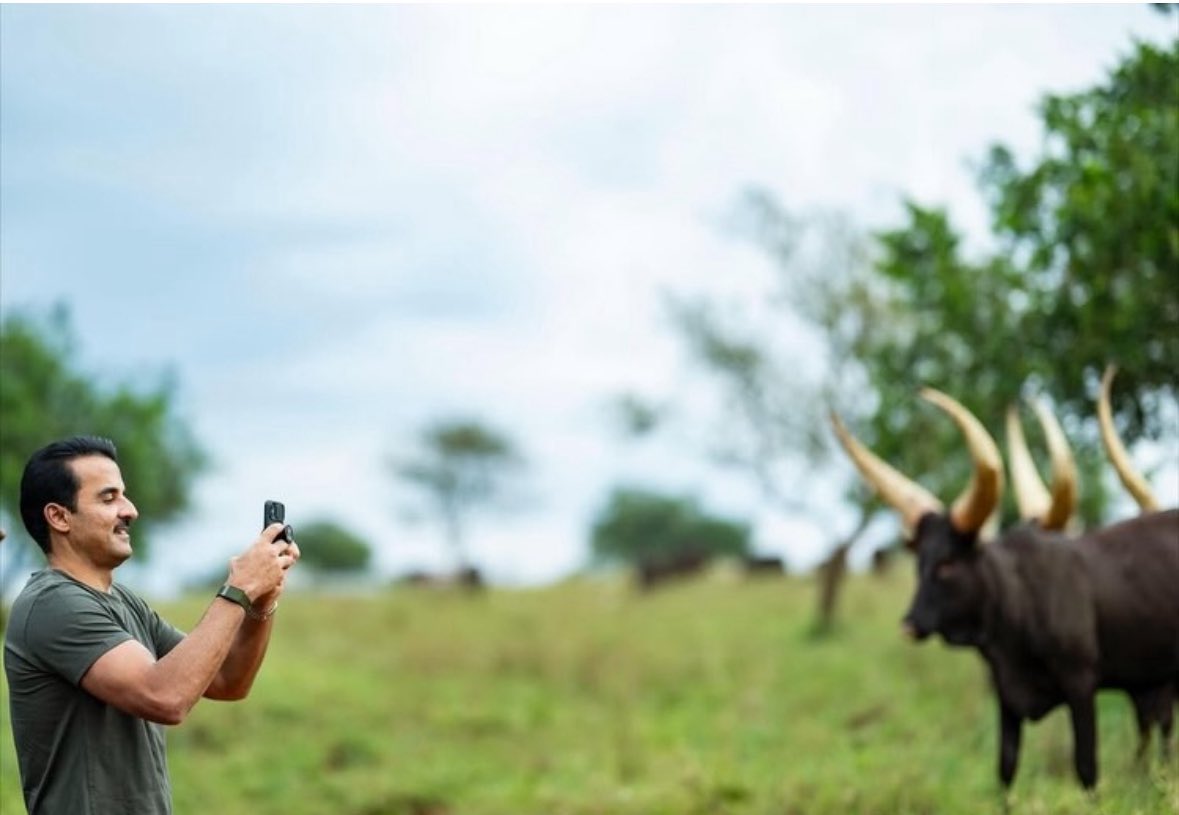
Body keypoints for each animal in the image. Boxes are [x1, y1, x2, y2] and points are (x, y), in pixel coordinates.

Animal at [829, 388, 1179, 790]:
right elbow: (1006, 768)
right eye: (919, 564)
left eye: (948, 563)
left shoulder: (1081, 684)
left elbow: (1086, 768)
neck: (1019, 603)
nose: (908, 625)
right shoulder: (1006, 695)